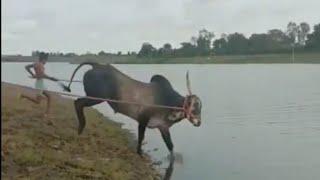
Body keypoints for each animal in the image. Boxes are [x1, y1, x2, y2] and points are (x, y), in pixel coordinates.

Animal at [65, 62, 202, 157]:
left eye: (200, 107)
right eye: (193, 105)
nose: (199, 122)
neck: (168, 101)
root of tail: (97, 65)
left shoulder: (163, 127)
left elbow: (170, 146)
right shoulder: (143, 120)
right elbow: (141, 137)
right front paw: (139, 152)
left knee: (78, 103)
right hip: (96, 97)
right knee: (78, 103)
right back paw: (81, 127)